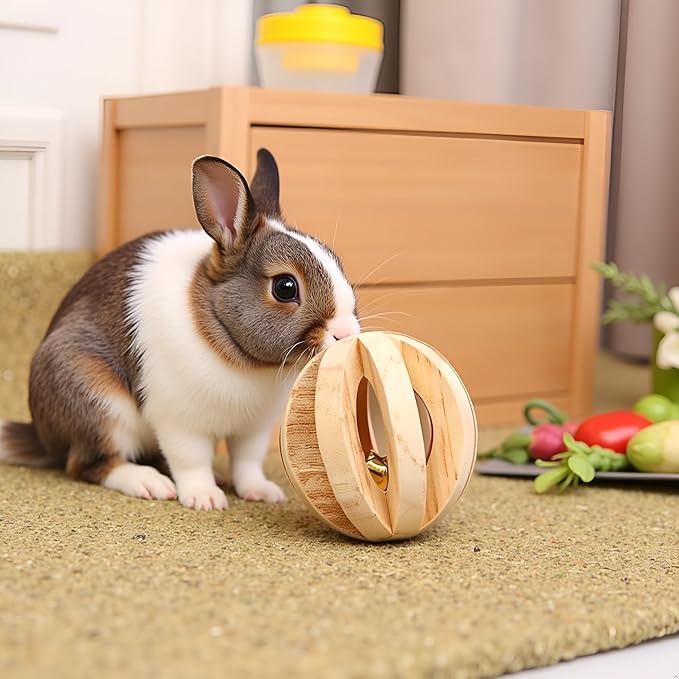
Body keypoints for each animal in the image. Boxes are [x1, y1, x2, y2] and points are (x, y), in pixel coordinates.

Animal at [0, 149, 360, 510]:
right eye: (285, 287)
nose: (346, 333)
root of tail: (43, 437)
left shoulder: (253, 429)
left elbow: (247, 462)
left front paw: (262, 492)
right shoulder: (180, 421)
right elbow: (191, 461)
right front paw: (205, 499)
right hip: (97, 403)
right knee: (90, 463)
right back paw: (150, 483)